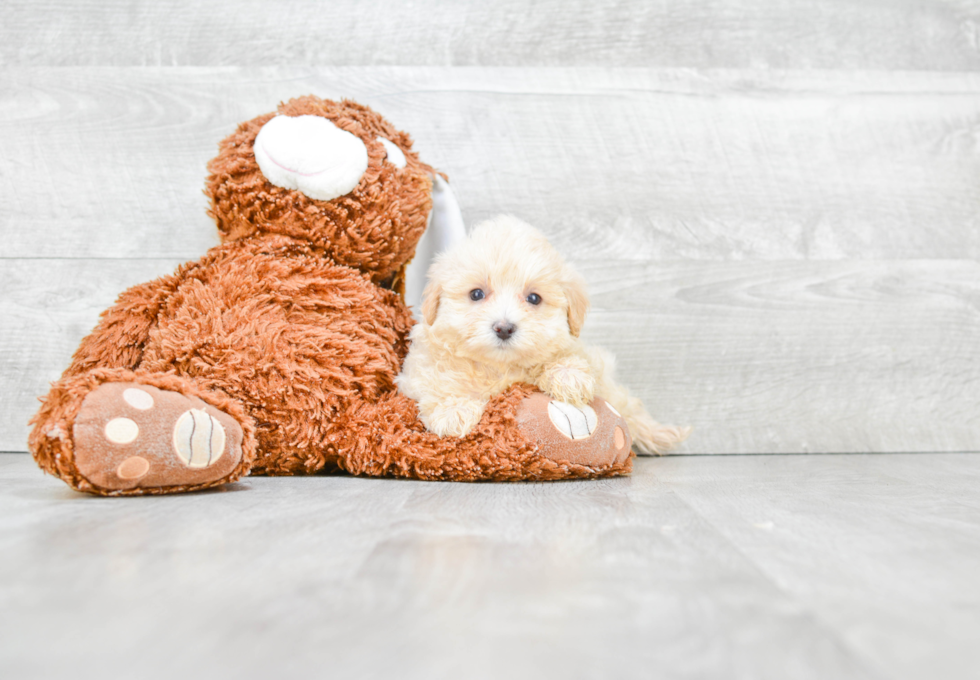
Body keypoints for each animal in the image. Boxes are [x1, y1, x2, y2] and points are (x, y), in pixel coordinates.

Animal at [396, 215, 688, 454]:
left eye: (534, 298)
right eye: (476, 294)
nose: (504, 328)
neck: (501, 367)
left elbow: (569, 358)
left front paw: (568, 376)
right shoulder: (420, 369)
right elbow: (438, 378)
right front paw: (452, 410)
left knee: (627, 405)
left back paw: (660, 433)